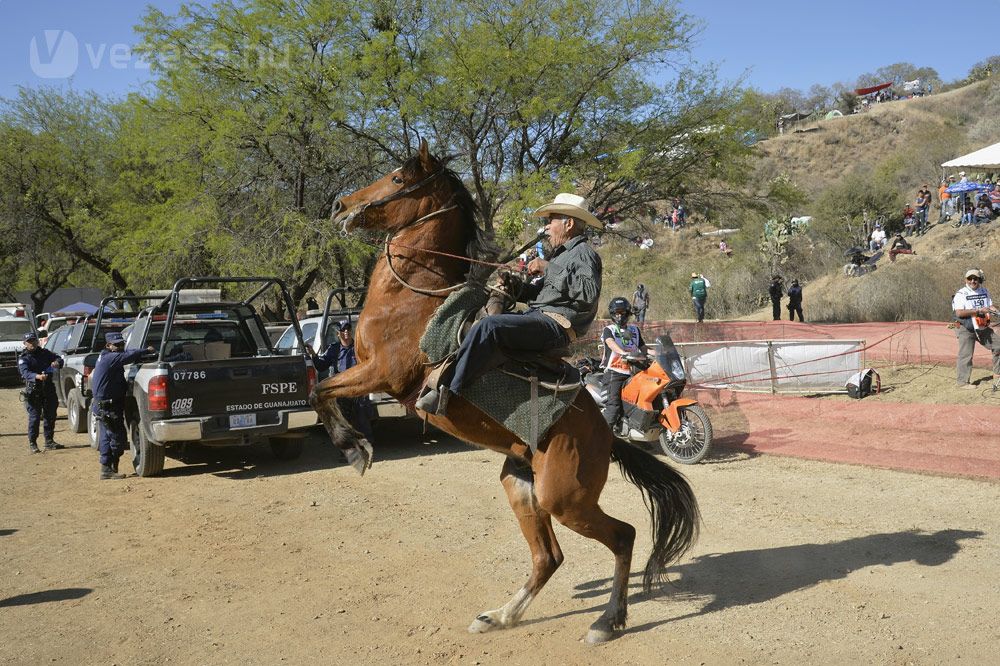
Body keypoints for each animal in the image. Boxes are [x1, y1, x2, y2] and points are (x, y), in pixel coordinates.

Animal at [310, 141, 696, 644]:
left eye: (397, 178)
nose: (340, 206)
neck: (413, 298)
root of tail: (604, 433)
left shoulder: (382, 373)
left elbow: (320, 390)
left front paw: (355, 448)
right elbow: (319, 389)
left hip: (564, 498)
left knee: (623, 536)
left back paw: (606, 622)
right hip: (521, 484)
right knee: (548, 557)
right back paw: (500, 615)